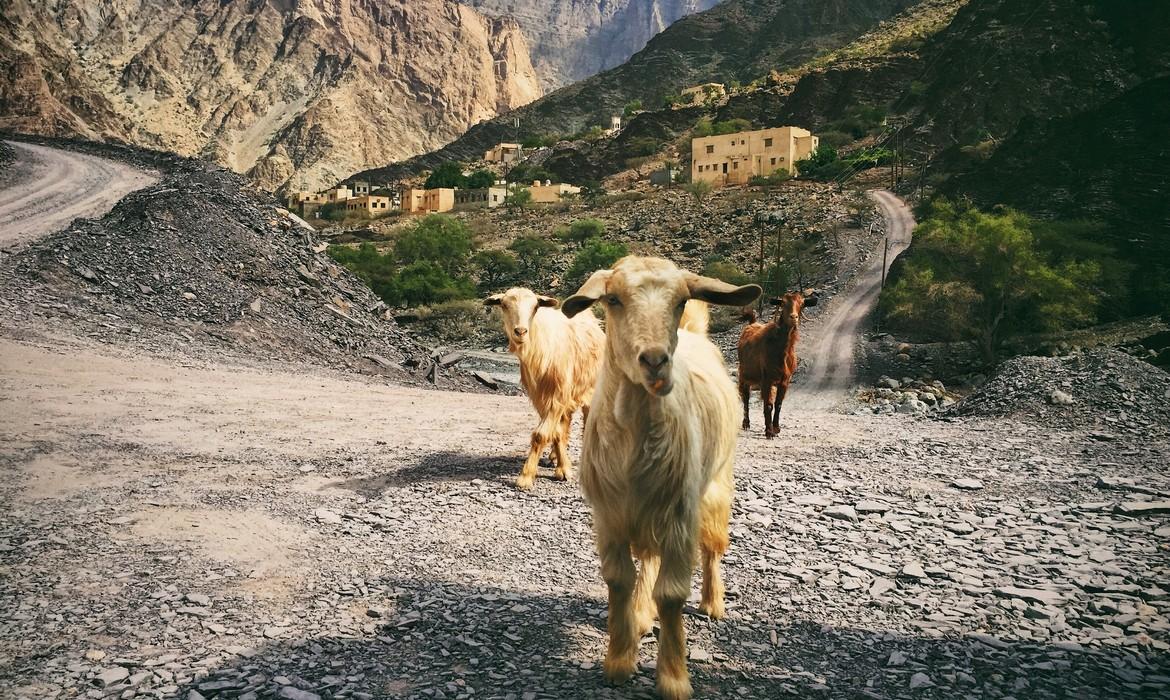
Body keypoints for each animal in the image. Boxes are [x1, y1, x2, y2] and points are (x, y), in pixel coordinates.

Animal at [482, 287, 603, 491]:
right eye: (504, 305)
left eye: (535, 307)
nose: (520, 331)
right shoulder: (540, 397)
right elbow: (555, 433)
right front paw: (562, 467)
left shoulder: (558, 395)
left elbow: (541, 434)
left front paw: (526, 477)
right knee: (566, 422)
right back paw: (554, 457)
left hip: (590, 390)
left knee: (587, 422)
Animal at [563, 257, 762, 700]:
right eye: (613, 299)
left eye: (681, 300)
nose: (654, 361)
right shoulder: (609, 515)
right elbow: (618, 580)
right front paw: (619, 659)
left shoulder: (679, 516)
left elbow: (671, 596)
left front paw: (673, 678)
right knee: (649, 559)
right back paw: (640, 615)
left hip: (715, 485)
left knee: (713, 547)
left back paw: (713, 603)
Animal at [739, 287, 814, 435]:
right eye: (783, 303)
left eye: (802, 304)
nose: (793, 317)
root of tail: (751, 324)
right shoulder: (767, 379)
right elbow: (768, 405)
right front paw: (769, 432)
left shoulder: (785, 380)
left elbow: (778, 404)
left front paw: (776, 428)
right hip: (743, 375)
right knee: (745, 398)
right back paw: (746, 423)